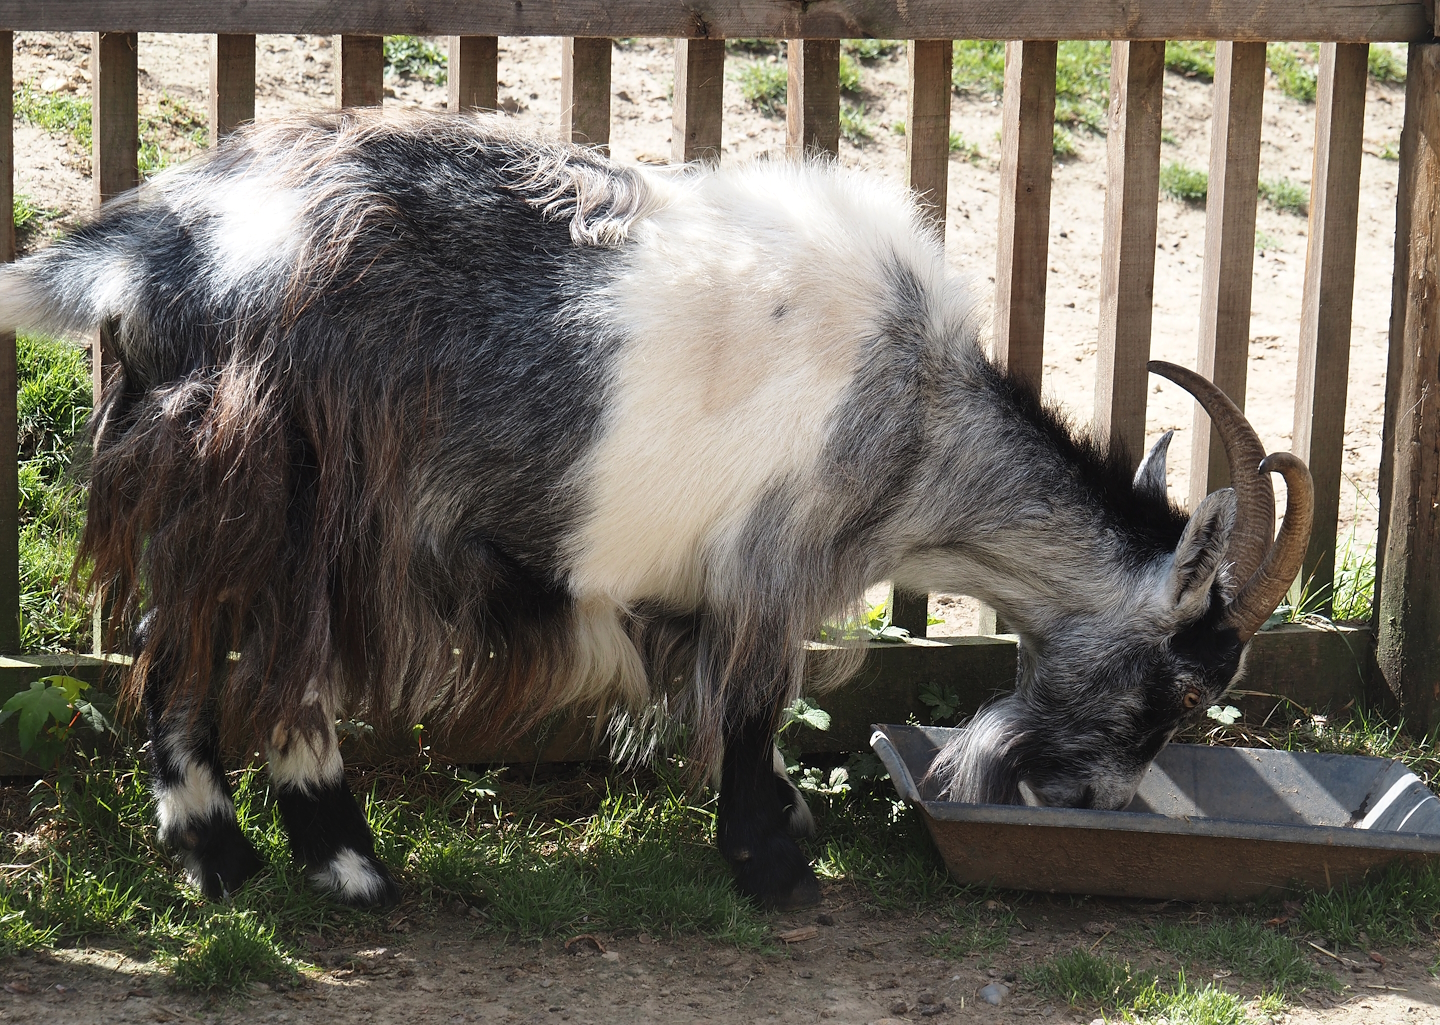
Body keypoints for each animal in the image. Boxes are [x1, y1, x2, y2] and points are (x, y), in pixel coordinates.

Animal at [0, 110, 1311, 911]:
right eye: (1179, 686)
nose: (1086, 804)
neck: (921, 422)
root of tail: (157, 248)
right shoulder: (773, 562)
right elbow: (751, 706)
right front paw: (774, 861)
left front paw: (784, 831)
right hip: (294, 497)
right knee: (235, 655)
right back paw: (312, 861)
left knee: (195, 642)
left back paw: (257, 856)